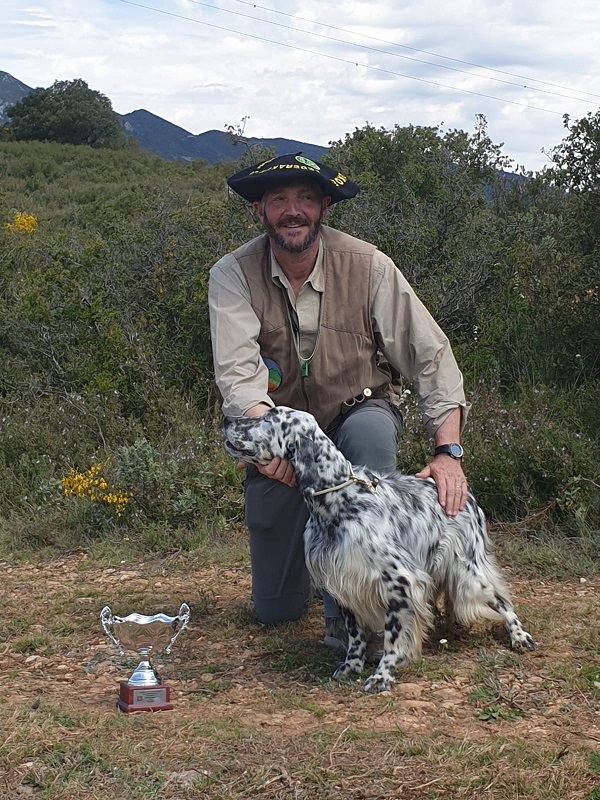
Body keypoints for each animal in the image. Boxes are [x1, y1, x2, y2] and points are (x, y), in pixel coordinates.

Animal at [224, 406, 536, 692]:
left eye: (270, 417)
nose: (226, 418)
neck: (336, 502)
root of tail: (466, 493)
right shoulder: (342, 580)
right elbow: (355, 635)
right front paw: (351, 665)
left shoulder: (401, 582)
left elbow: (393, 637)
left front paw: (382, 675)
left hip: (467, 571)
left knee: (502, 600)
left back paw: (519, 636)